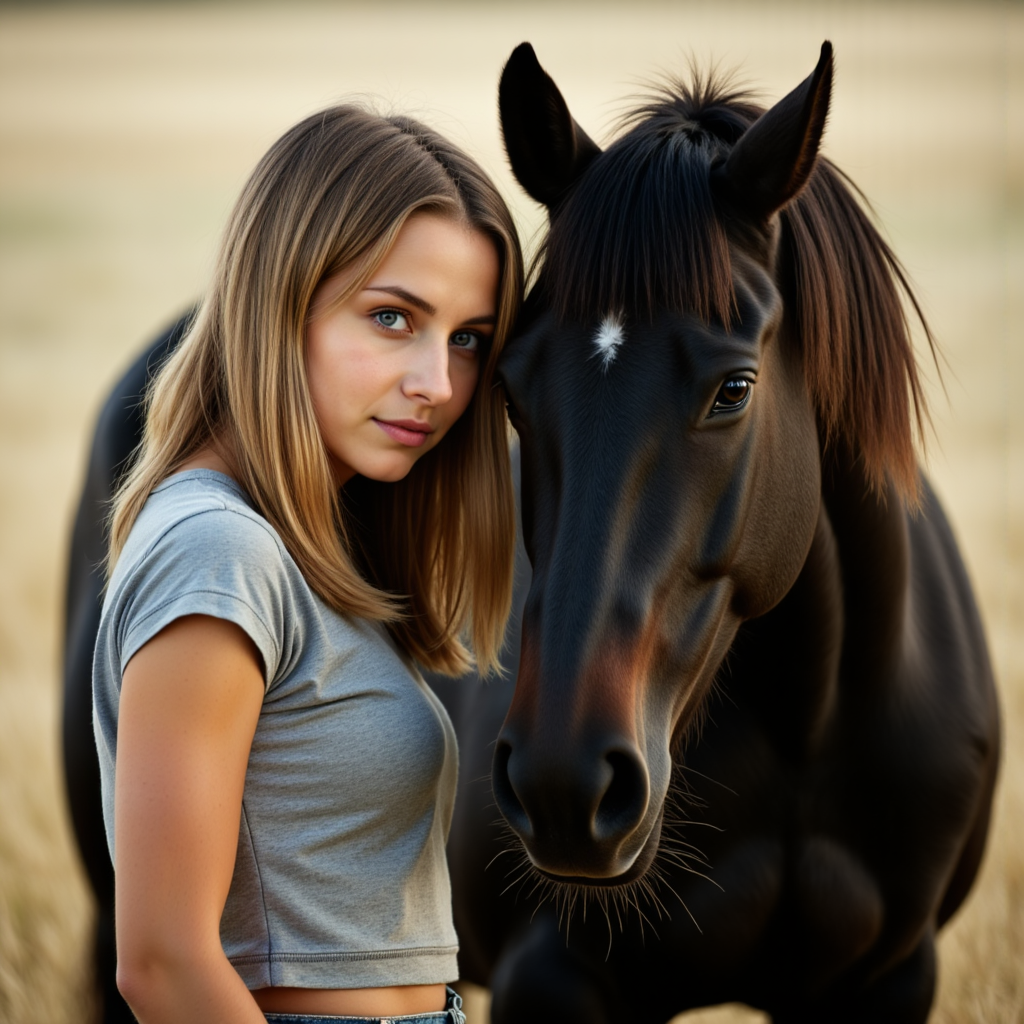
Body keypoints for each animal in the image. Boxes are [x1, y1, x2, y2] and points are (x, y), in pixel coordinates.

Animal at [61, 41, 999, 1024]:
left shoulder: (893, 977)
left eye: (734, 388)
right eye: (511, 385)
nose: (565, 784)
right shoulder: (550, 977)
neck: (803, 742)